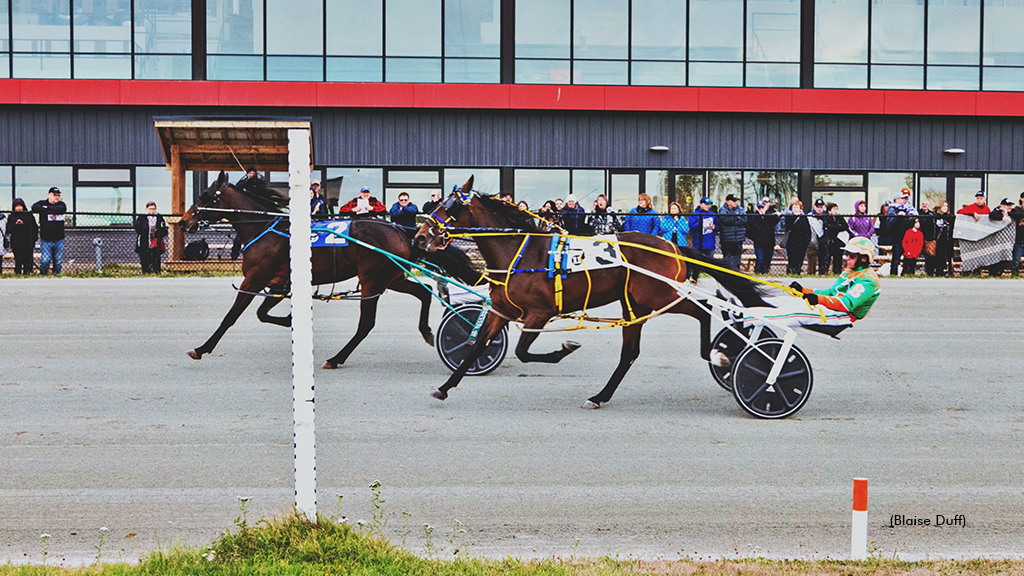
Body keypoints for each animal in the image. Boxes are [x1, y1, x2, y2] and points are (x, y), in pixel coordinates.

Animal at [178, 170, 477, 366]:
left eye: (205, 194)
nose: (183, 221)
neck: (265, 229)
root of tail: (401, 231)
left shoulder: (254, 279)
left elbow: (231, 316)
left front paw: (202, 348)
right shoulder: (278, 282)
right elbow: (263, 314)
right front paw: (291, 319)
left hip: (372, 278)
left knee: (367, 323)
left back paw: (336, 358)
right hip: (390, 277)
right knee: (424, 292)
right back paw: (426, 331)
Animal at [413, 177, 770, 405]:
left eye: (450, 206)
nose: (419, 236)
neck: (519, 252)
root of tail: (673, 246)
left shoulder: (540, 313)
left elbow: (524, 352)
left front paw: (565, 348)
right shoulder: (503, 310)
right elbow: (475, 347)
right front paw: (445, 387)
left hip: (660, 295)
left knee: (702, 310)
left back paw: (718, 354)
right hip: (635, 305)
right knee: (630, 353)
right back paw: (600, 396)